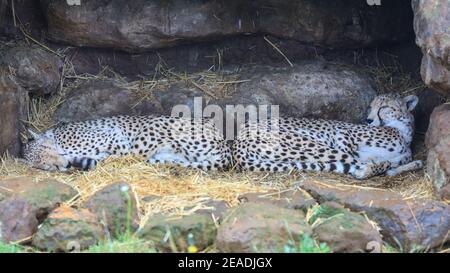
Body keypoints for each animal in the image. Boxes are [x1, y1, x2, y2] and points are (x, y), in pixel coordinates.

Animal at [21, 114, 232, 170]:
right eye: (44, 165)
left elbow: (120, 152)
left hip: (152, 128)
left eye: (47, 149)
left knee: (136, 156)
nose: (63, 165)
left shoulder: (115, 137)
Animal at [234, 93, 424, 178]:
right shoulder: (342, 132)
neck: (402, 130)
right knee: (355, 163)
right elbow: (355, 153)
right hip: (311, 144)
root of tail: (237, 142)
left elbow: (398, 162)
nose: (368, 120)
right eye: (370, 107)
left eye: (384, 107)